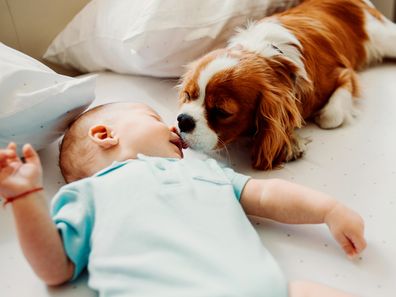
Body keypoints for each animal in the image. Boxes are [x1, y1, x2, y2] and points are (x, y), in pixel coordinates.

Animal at [177, 0, 396, 170]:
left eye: (222, 112)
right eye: (188, 96)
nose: (183, 120)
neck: (270, 56)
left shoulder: (344, 73)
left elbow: (330, 117)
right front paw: (291, 140)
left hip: (383, 38)